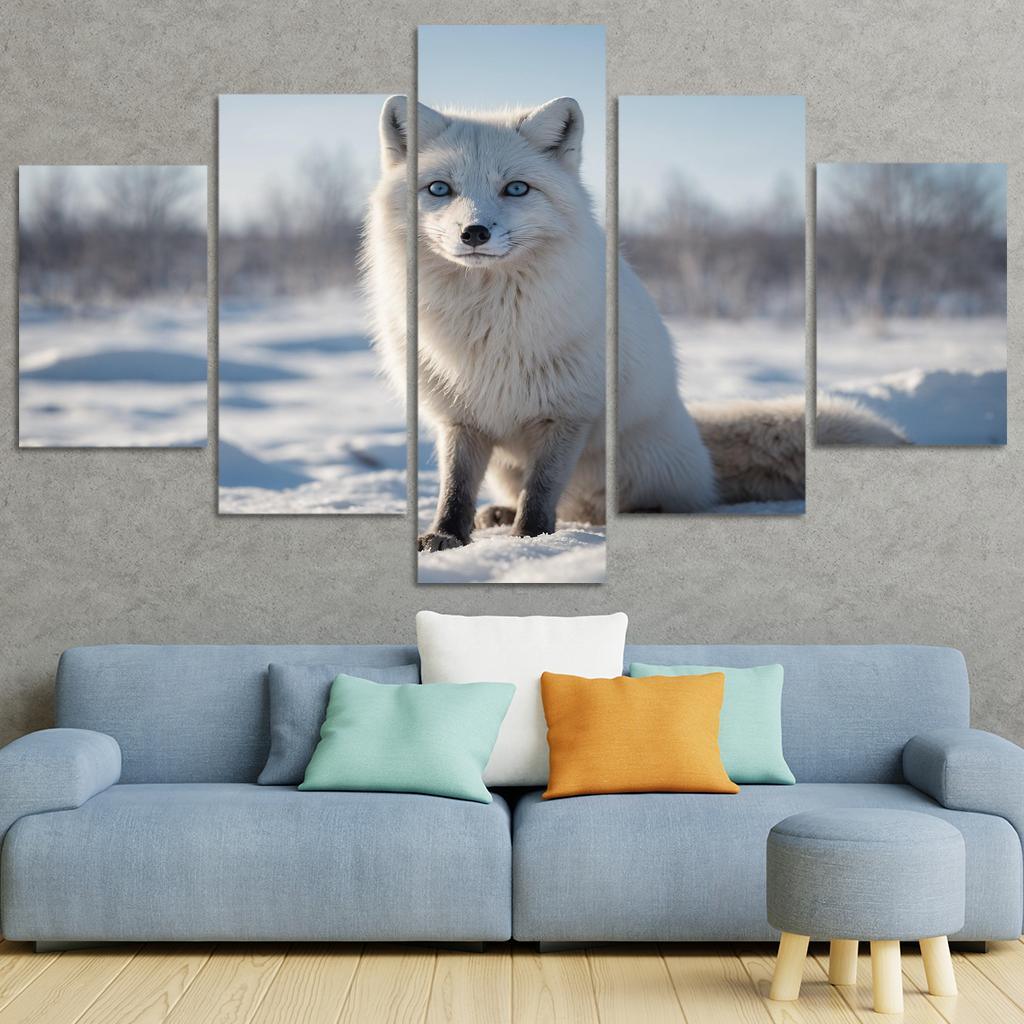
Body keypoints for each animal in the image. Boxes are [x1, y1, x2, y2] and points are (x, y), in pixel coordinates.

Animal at [363, 95, 899, 547]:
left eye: (516, 188)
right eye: (439, 189)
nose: (474, 232)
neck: (482, 323)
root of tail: (692, 433)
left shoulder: (568, 411)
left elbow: (542, 490)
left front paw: (530, 540)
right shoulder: (459, 415)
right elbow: (455, 488)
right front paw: (446, 537)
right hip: (506, 465)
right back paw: (499, 514)